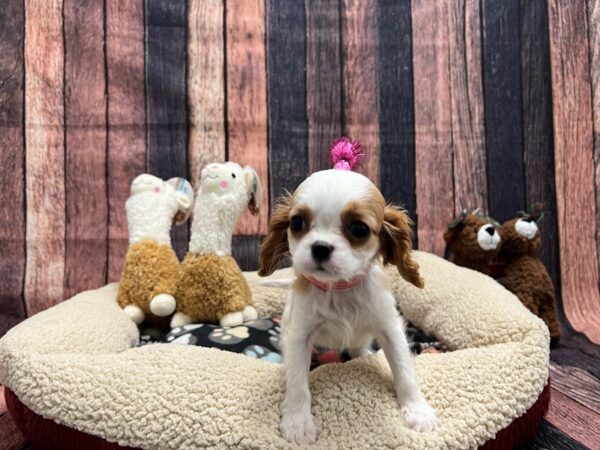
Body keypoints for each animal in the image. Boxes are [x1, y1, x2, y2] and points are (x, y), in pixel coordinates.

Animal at [256, 168, 436, 442]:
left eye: (359, 229)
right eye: (296, 223)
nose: (320, 248)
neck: (339, 289)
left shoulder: (389, 328)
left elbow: (404, 370)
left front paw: (418, 411)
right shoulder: (299, 336)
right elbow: (297, 382)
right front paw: (298, 422)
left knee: (358, 349)